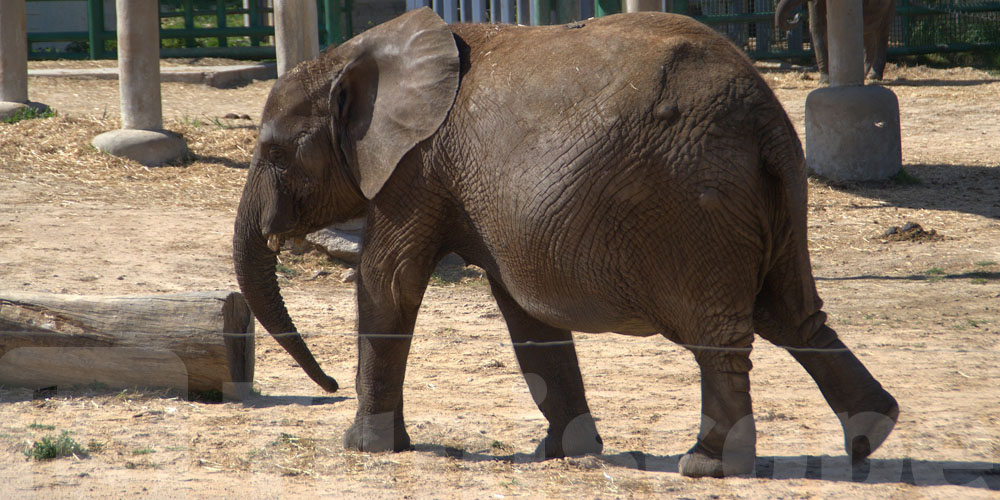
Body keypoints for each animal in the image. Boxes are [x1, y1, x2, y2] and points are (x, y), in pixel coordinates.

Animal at [772, 0, 900, 82]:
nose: (797, 16)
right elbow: (817, 27)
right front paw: (825, 82)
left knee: (880, 32)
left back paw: (873, 76)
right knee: (869, 34)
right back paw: (864, 74)